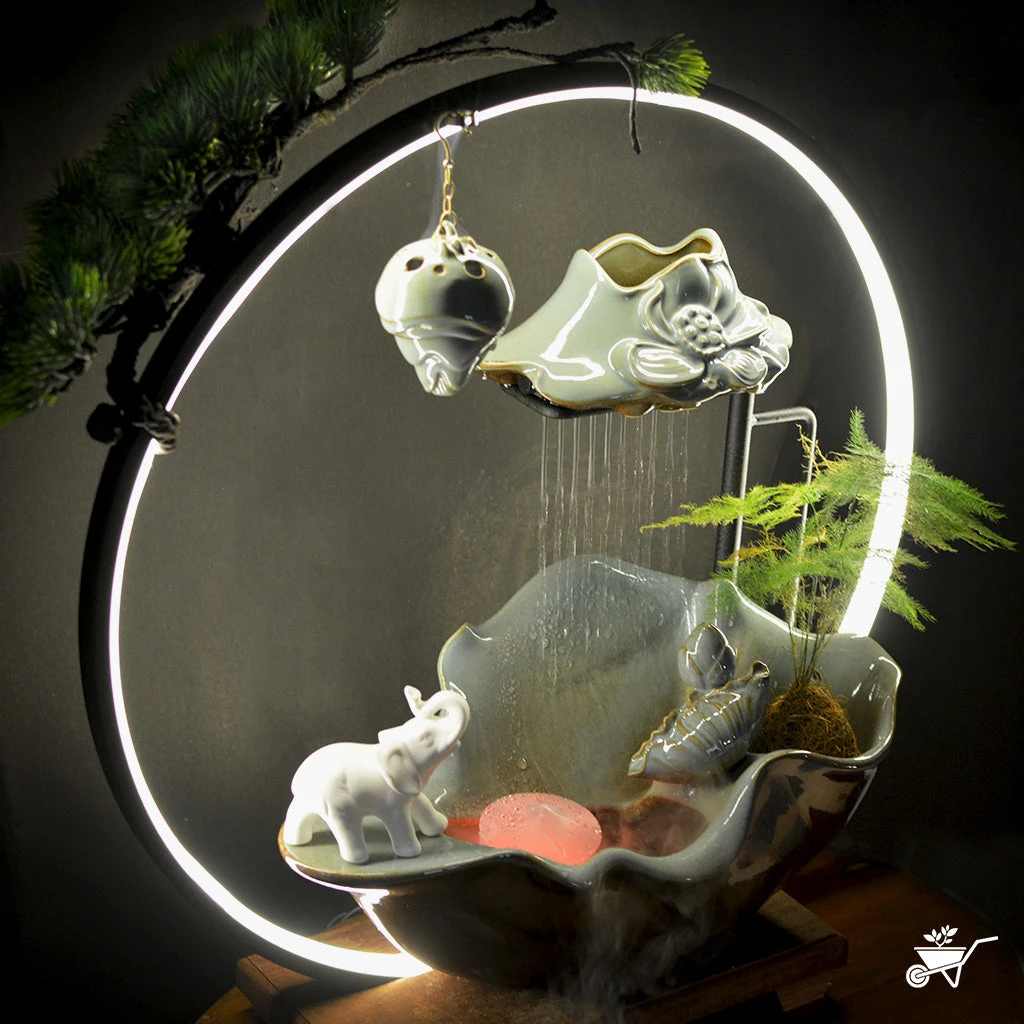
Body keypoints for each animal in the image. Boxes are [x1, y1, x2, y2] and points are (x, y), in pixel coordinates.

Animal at [283, 686, 470, 864]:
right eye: (425, 738)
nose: (415, 695)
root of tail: (297, 779)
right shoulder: (392, 800)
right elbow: (398, 818)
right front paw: (412, 854)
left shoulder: (408, 784)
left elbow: (421, 802)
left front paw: (440, 828)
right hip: (337, 804)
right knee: (345, 826)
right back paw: (359, 860)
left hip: (306, 800)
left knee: (297, 813)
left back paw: (296, 842)